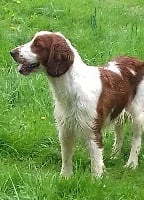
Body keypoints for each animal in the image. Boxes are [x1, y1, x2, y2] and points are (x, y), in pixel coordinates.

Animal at [9, 30, 144, 177]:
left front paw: (97, 179)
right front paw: (65, 177)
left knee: (136, 140)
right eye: (31, 40)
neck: (71, 88)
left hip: (137, 115)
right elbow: (66, 158)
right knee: (119, 134)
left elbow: (96, 163)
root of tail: (138, 61)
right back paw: (114, 156)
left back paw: (131, 164)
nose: (12, 52)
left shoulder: (92, 131)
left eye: (38, 45)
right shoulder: (65, 130)